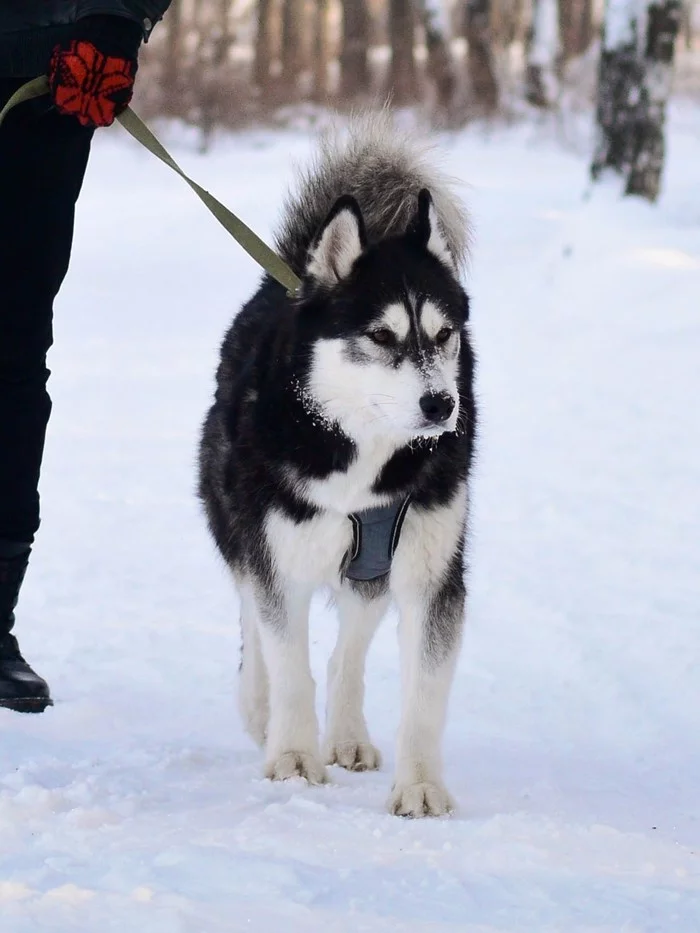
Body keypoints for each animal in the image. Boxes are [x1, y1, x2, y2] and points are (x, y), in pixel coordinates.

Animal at [200, 113, 478, 816]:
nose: (441, 405)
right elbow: (286, 657)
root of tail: (289, 278)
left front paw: (421, 785)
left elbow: (423, 695)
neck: (364, 457)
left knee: (347, 651)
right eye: (381, 336)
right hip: (239, 521)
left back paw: (348, 734)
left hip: (374, 565)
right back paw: (260, 708)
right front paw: (293, 755)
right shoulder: (279, 557)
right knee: (254, 618)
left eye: (444, 334)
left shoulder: (431, 573)